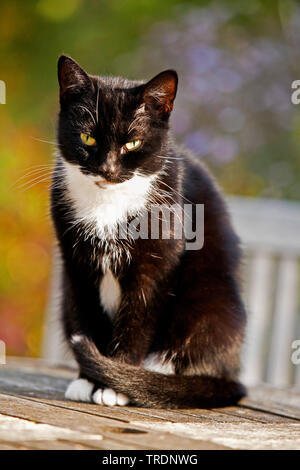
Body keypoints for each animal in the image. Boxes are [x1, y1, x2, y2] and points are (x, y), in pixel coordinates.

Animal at [51, 54, 247, 408]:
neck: (108, 203)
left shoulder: (155, 266)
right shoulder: (76, 265)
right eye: (88, 138)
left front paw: (115, 385)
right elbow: (87, 318)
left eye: (133, 143)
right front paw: (90, 380)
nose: (108, 169)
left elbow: (137, 321)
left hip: (213, 301)